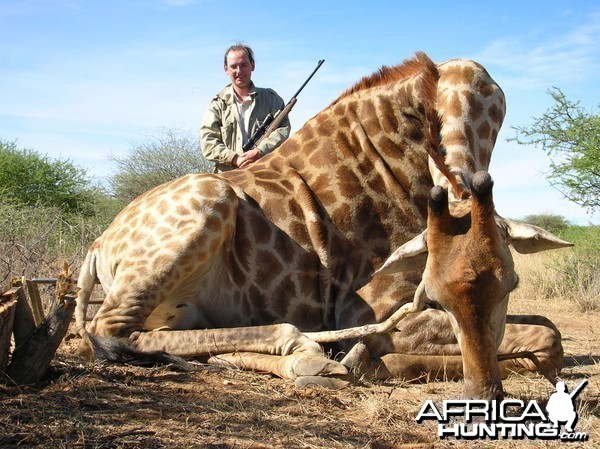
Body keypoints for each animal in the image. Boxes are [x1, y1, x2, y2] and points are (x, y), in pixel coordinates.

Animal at [76, 51, 572, 400]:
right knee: (110, 331)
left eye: (511, 284)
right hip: (205, 206)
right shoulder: (368, 309)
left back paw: (316, 362)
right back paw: (313, 355)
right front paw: (373, 362)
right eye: (434, 294)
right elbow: (541, 334)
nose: (483, 395)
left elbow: (548, 333)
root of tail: (98, 246)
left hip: (181, 311)